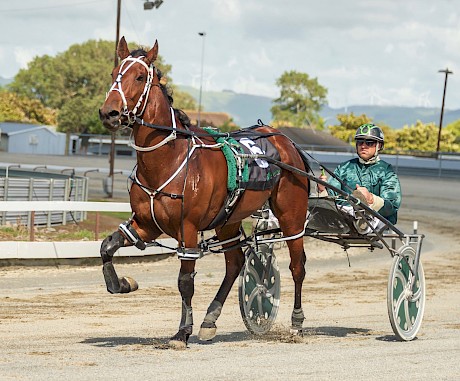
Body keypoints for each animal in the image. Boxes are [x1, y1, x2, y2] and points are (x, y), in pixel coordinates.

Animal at [99, 37, 310, 348]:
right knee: (235, 263)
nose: (109, 113)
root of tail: (285, 140)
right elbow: (107, 247)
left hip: (291, 214)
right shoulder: (146, 224)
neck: (167, 159)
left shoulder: (187, 229)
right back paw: (210, 320)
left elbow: (185, 282)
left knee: (297, 265)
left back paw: (296, 322)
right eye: (114, 73)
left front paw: (181, 332)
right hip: (229, 220)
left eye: (138, 77)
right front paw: (123, 283)